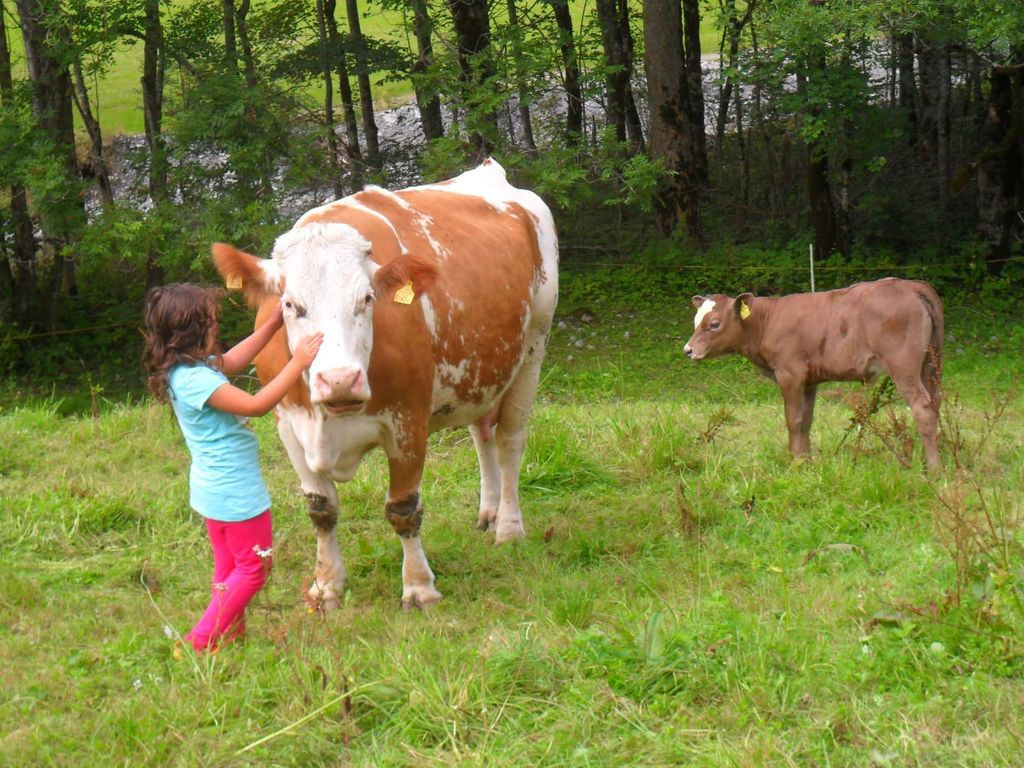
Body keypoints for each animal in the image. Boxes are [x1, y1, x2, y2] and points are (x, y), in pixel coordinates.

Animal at [211, 159, 558, 610]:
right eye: (290, 304)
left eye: (367, 299)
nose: (339, 380)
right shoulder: (289, 424)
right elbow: (321, 510)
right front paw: (327, 586)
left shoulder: (408, 422)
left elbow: (403, 508)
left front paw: (419, 587)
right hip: (480, 372)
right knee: (482, 433)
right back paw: (489, 512)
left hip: (533, 347)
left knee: (509, 441)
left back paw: (509, 529)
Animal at [683, 278, 943, 469]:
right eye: (695, 321)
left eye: (714, 324)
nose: (688, 350)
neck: (767, 321)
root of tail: (910, 285)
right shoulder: (809, 380)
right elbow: (806, 420)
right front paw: (806, 460)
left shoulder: (790, 374)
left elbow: (794, 420)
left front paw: (796, 462)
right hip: (930, 364)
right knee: (936, 401)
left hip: (903, 366)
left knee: (922, 407)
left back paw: (933, 469)